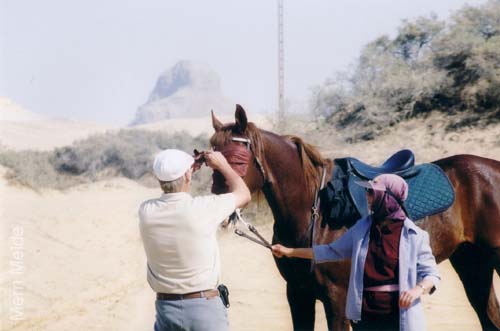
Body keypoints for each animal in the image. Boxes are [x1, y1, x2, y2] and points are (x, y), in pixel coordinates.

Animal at [208, 105, 500, 331]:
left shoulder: (336, 299)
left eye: (237, 159)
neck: (314, 209)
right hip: (473, 263)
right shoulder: (298, 294)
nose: (217, 211)